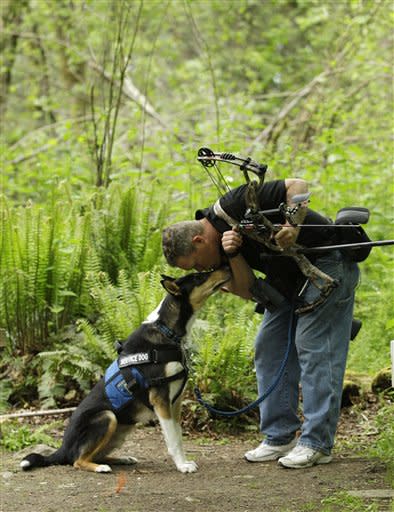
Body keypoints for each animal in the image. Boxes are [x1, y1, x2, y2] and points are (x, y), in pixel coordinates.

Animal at [20, 270, 231, 474]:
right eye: (199, 277)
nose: (226, 268)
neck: (167, 330)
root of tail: (62, 449)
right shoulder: (161, 400)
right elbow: (172, 440)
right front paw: (182, 466)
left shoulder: (175, 401)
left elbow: (178, 436)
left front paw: (184, 462)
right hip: (107, 417)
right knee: (77, 460)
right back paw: (100, 468)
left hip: (121, 430)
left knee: (96, 455)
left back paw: (122, 459)